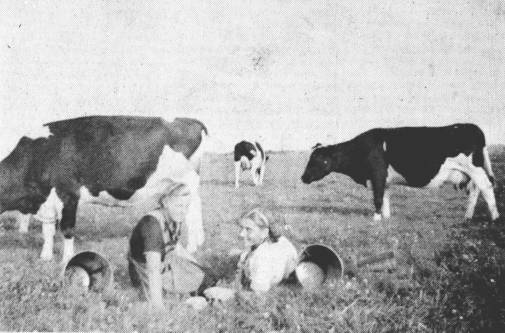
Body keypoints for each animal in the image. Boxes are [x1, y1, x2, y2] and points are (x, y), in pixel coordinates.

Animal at [0, 115, 208, 260]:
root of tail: (189, 120)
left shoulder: (68, 194)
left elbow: (67, 229)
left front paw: (66, 259)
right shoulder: (47, 199)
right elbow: (48, 230)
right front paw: (45, 256)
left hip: (188, 181)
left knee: (193, 213)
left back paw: (192, 248)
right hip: (175, 188)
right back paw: (195, 243)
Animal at [302, 123, 498, 222]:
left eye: (317, 160)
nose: (303, 177)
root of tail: (473, 127)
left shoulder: (377, 174)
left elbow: (378, 197)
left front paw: (376, 218)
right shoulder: (384, 179)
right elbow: (385, 196)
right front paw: (386, 217)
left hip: (475, 169)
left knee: (486, 187)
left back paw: (494, 217)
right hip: (470, 174)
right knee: (475, 191)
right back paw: (467, 216)